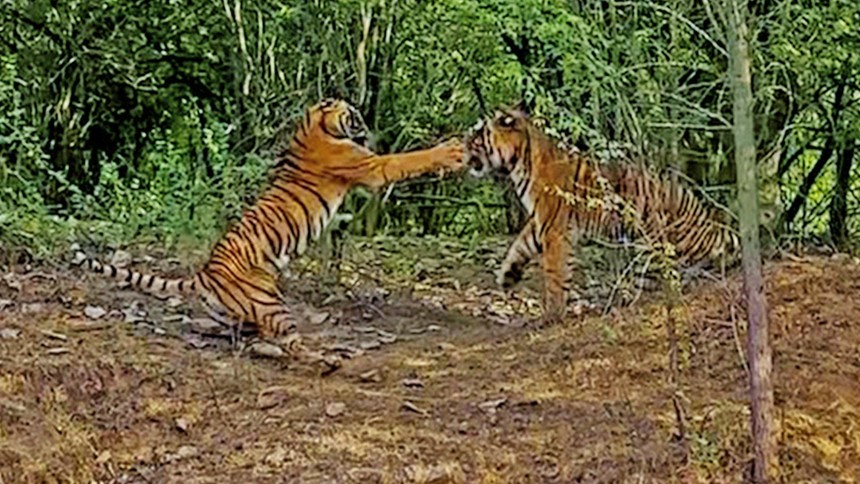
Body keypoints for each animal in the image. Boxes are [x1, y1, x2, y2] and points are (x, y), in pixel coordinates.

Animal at [74, 98, 464, 364]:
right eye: (354, 115)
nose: (368, 129)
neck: (312, 126)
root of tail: (204, 274)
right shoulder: (370, 166)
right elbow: (410, 159)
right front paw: (453, 150)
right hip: (269, 300)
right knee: (290, 344)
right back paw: (327, 360)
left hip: (244, 311)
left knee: (249, 336)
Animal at [464, 104, 740, 328]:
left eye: (476, 137)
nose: (463, 148)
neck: (519, 161)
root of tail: (691, 198)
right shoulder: (543, 222)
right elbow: (521, 244)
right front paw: (507, 276)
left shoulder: (554, 228)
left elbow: (554, 273)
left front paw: (552, 314)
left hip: (674, 238)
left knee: (709, 250)